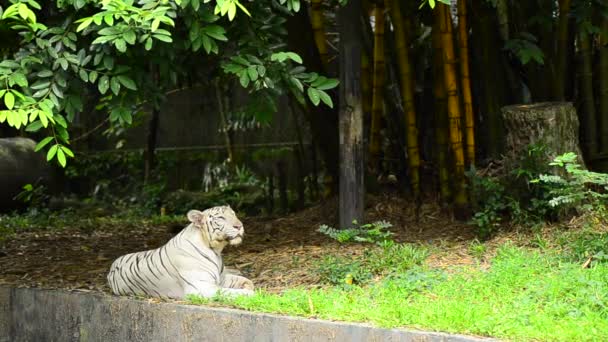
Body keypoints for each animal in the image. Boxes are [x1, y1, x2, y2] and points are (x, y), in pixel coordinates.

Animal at [107, 206, 254, 300]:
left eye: (234, 214)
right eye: (221, 218)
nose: (239, 226)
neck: (216, 250)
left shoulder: (221, 278)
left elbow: (247, 281)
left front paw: (249, 286)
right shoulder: (201, 287)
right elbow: (232, 292)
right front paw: (252, 294)